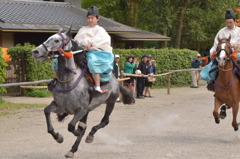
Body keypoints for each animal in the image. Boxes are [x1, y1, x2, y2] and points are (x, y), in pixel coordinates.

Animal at [31, 28, 135, 158]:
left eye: (57, 40)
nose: (35, 51)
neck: (68, 82)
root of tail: (115, 80)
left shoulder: (81, 109)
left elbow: (72, 126)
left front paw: (75, 133)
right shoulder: (60, 106)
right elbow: (47, 113)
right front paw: (58, 137)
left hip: (110, 102)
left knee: (104, 121)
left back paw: (90, 136)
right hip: (88, 110)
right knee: (85, 125)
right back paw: (72, 149)